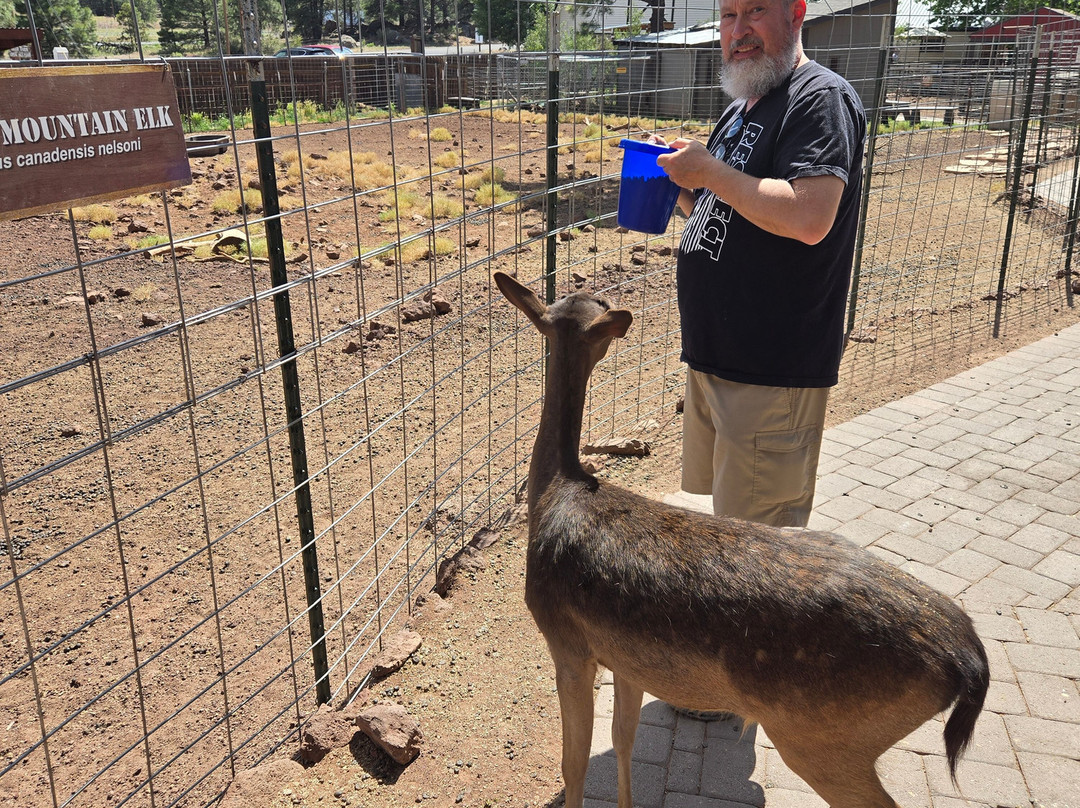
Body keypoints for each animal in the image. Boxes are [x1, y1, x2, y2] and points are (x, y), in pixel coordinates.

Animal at [492, 271, 989, 808]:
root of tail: (968, 660)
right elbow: (622, 740)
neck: (555, 491)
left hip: (821, 736)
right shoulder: (626, 658)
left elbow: (574, 765)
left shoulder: (567, 642)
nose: (612, 300)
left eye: (598, 303)